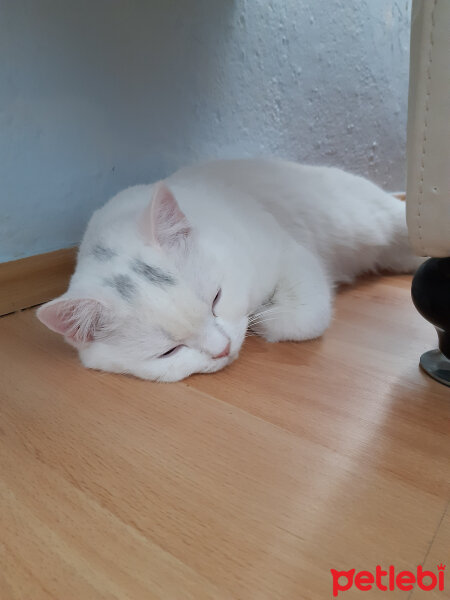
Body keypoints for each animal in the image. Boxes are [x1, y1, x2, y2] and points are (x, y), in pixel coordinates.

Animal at [36, 159, 418, 382]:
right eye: (168, 352)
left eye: (216, 299)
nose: (222, 349)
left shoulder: (289, 254)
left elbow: (300, 320)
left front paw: (265, 320)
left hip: (369, 218)